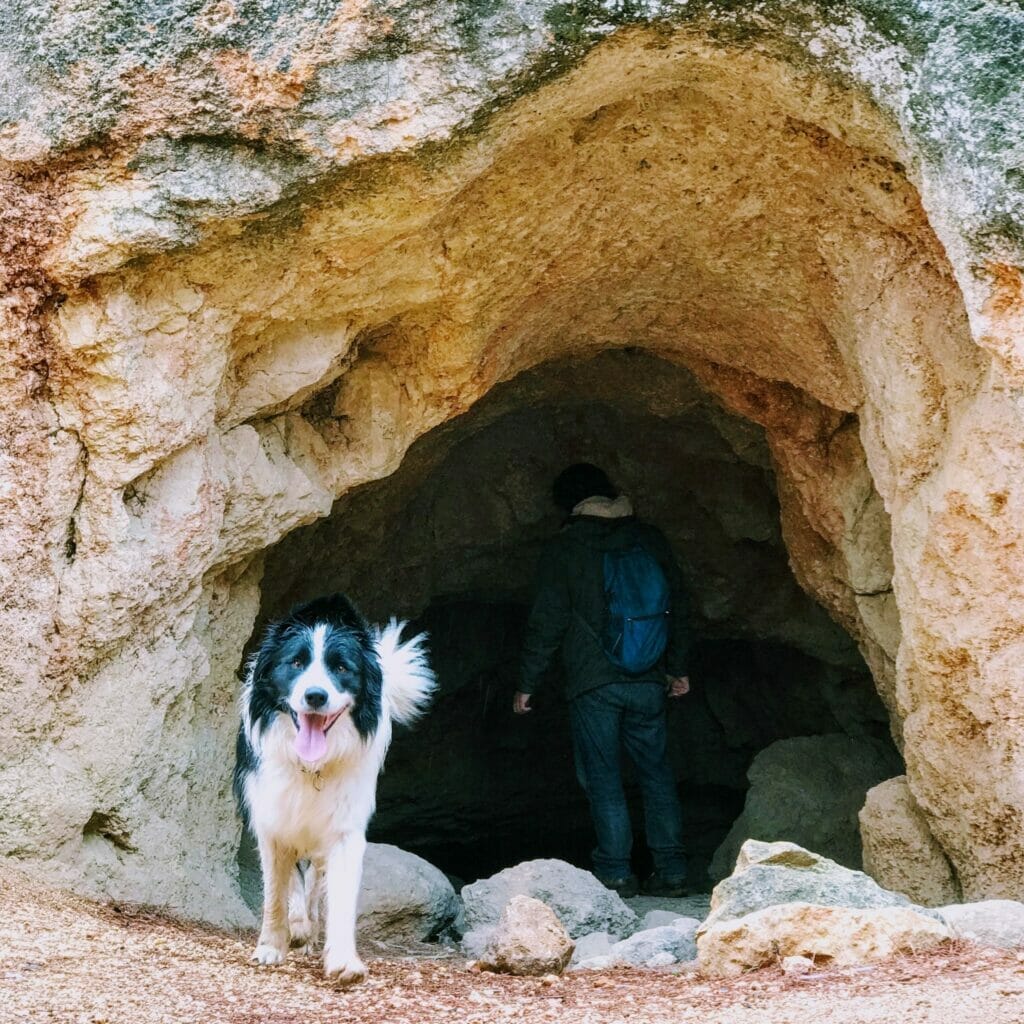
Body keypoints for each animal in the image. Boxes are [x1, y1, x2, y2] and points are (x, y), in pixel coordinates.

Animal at [234, 593, 434, 983]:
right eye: (296, 663)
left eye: (341, 668)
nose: (315, 696)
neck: (311, 767)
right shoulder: (271, 817)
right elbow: (276, 890)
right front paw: (272, 945)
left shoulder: (344, 828)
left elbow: (340, 896)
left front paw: (344, 960)